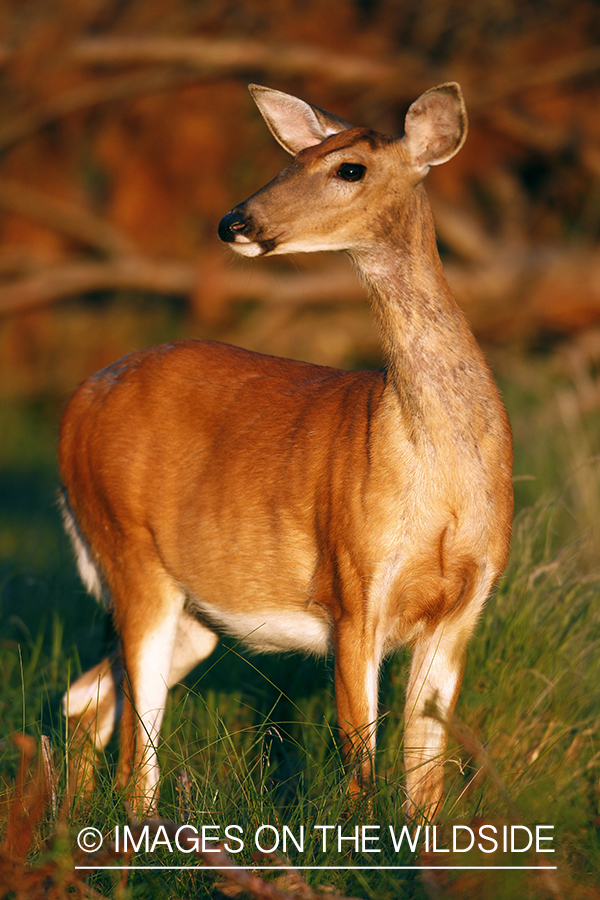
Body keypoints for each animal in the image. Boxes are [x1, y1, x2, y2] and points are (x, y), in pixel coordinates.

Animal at [59, 84, 510, 824]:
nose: (234, 221)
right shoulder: (354, 588)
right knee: (133, 750)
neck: (436, 474)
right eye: (293, 159)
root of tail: (79, 406)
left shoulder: (465, 605)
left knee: (85, 699)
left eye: (349, 167)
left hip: (195, 610)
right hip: (129, 551)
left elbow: (425, 782)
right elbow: (361, 763)